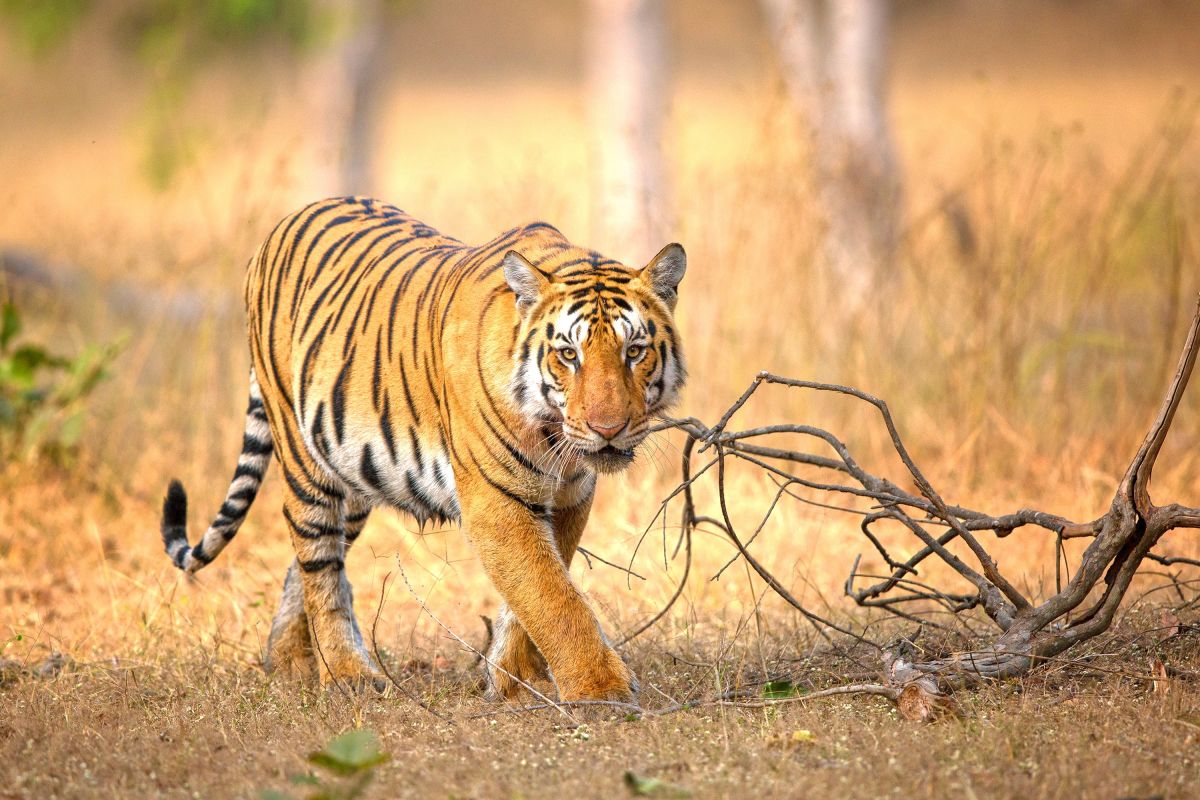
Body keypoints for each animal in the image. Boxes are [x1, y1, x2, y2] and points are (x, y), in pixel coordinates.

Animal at [159, 196, 686, 703]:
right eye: (568, 355)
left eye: (634, 351)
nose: (608, 429)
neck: (554, 437)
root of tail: (283, 223)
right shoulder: (497, 501)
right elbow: (551, 597)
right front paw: (600, 689)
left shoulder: (570, 496)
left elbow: (537, 592)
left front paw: (514, 683)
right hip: (304, 457)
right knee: (319, 565)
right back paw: (347, 674)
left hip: (354, 472)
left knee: (306, 569)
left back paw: (288, 661)